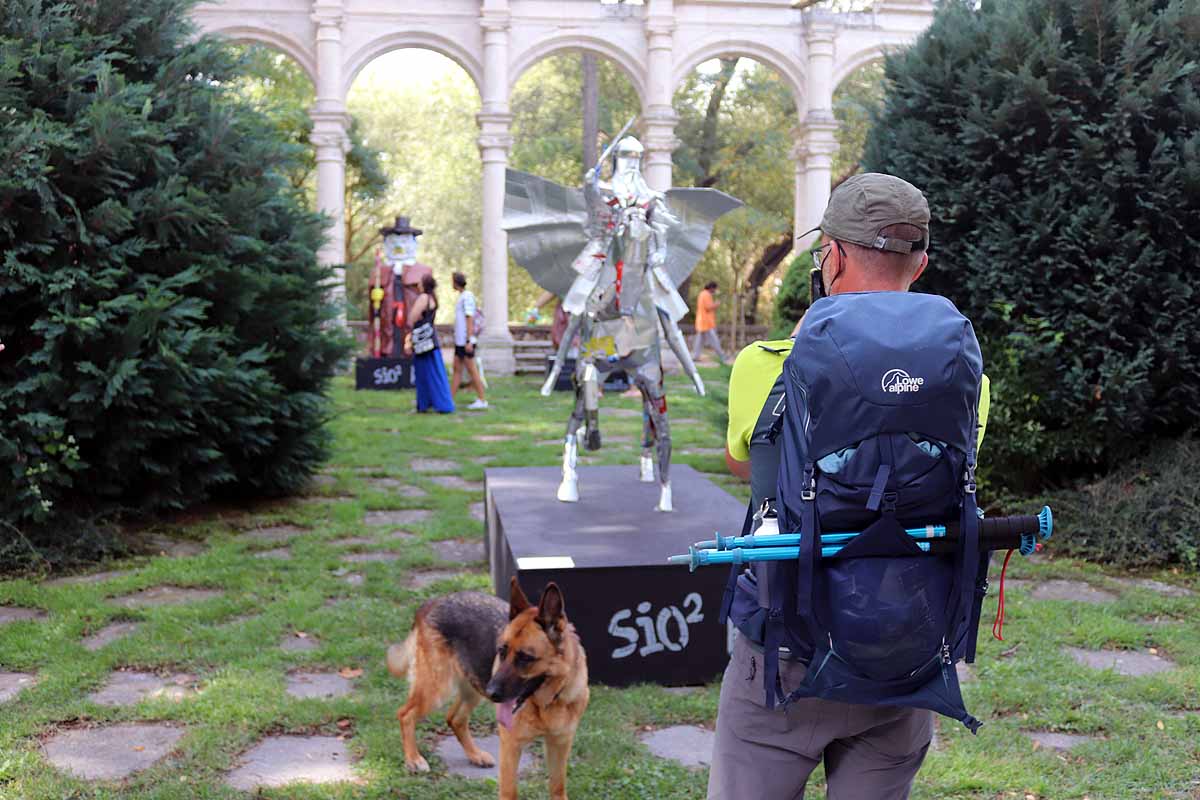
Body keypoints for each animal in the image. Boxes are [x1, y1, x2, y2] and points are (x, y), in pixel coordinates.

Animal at [386, 578, 588, 796]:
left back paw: (475, 755)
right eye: (501, 651)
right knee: (405, 714)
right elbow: (509, 792)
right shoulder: (510, 747)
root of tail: (433, 602)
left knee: (454, 718)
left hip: (473, 688)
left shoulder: (560, 745)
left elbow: (558, 788)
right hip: (438, 689)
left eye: (525, 658)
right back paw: (413, 758)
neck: (549, 702)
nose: (492, 693)